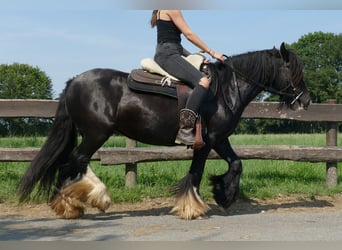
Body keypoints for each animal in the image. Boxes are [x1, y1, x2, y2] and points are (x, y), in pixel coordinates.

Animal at [20, 43, 312, 219]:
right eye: (293, 70)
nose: (307, 100)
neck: (225, 90)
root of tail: (73, 81)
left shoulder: (216, 140)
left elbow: (232, 164)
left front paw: (218, 195)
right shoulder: (209, 141)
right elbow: (201, 172)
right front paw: (198, 204)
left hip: (92, 135)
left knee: (73, 163)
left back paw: (74, 202)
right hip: (96, 134)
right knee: (74, 162)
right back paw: (77, 202)